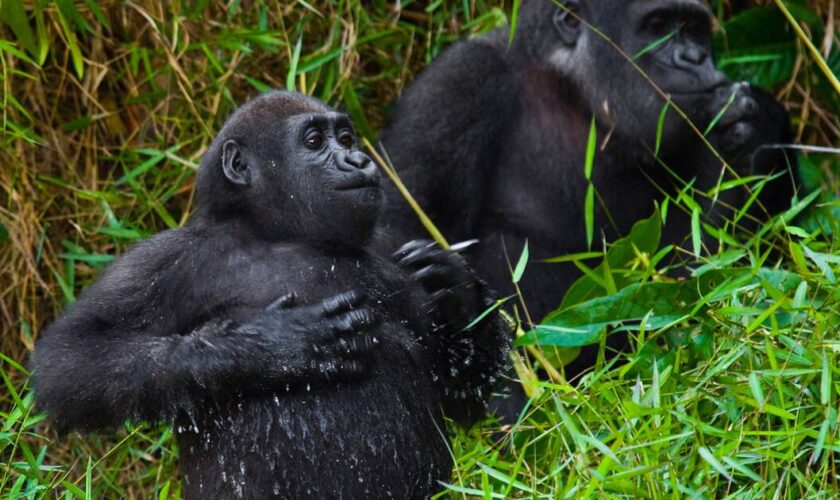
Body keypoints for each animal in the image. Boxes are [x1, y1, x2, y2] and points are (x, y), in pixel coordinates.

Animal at [31, 92, 506, 498]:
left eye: (345, 138)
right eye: (314, 141)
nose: (357, 159)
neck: (279, 234)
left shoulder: (391, 246)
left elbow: (463, 390)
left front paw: (460, 292)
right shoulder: (172, 257)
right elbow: (73, 358)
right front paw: (268, 346)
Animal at [378, 0, 796, 376]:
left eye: (693, 30)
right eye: (658, 26)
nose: (694, 57)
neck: (567, 84)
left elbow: (697, 279)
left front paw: (759, 129)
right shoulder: (459, 81)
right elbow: (398, 224)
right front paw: (466, 304)